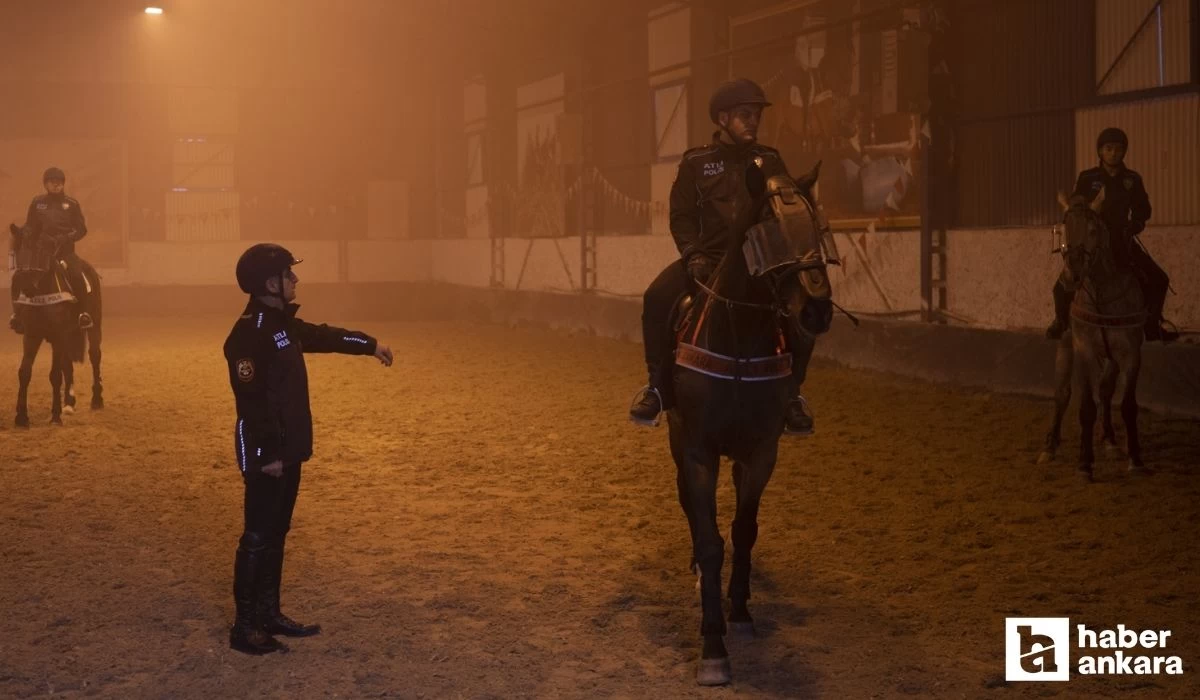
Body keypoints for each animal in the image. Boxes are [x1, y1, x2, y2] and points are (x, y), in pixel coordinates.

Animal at [10, 223, 104, 427]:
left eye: (39, 250)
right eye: (18, 251)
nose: (27, 286)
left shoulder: (59, 335)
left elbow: (54, 375)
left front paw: (55, 416)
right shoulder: (32, 335)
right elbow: (24, 372)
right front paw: (21, 417)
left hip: (93, 327)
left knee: (94, 357)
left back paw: (97, 400)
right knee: (67, 364)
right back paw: (69, 402)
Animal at [667, 162, 835, 686]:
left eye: (817, 228)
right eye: (769, 231)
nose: (817, 310)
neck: (737, 339)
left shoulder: (761, 451)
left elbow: (744, 531)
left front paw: (739, 612)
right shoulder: (697, 451)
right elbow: (710, 539)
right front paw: (712, 647)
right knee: (690, 508)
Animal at [1036, 188, 1147, 485]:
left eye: (1093, 230)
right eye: (1063, 230)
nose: (1072, 275)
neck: (1101, 294)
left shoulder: (1130, 353)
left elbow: (1128, 405)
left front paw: (1135, 459)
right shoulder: (1083, 348)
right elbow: (1085, 406)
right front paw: (1085, 464)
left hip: (1110, 359)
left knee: (1106, 391)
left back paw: (1109, 439)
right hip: (1066, 347)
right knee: (1062, 395)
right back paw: (1049, 447)